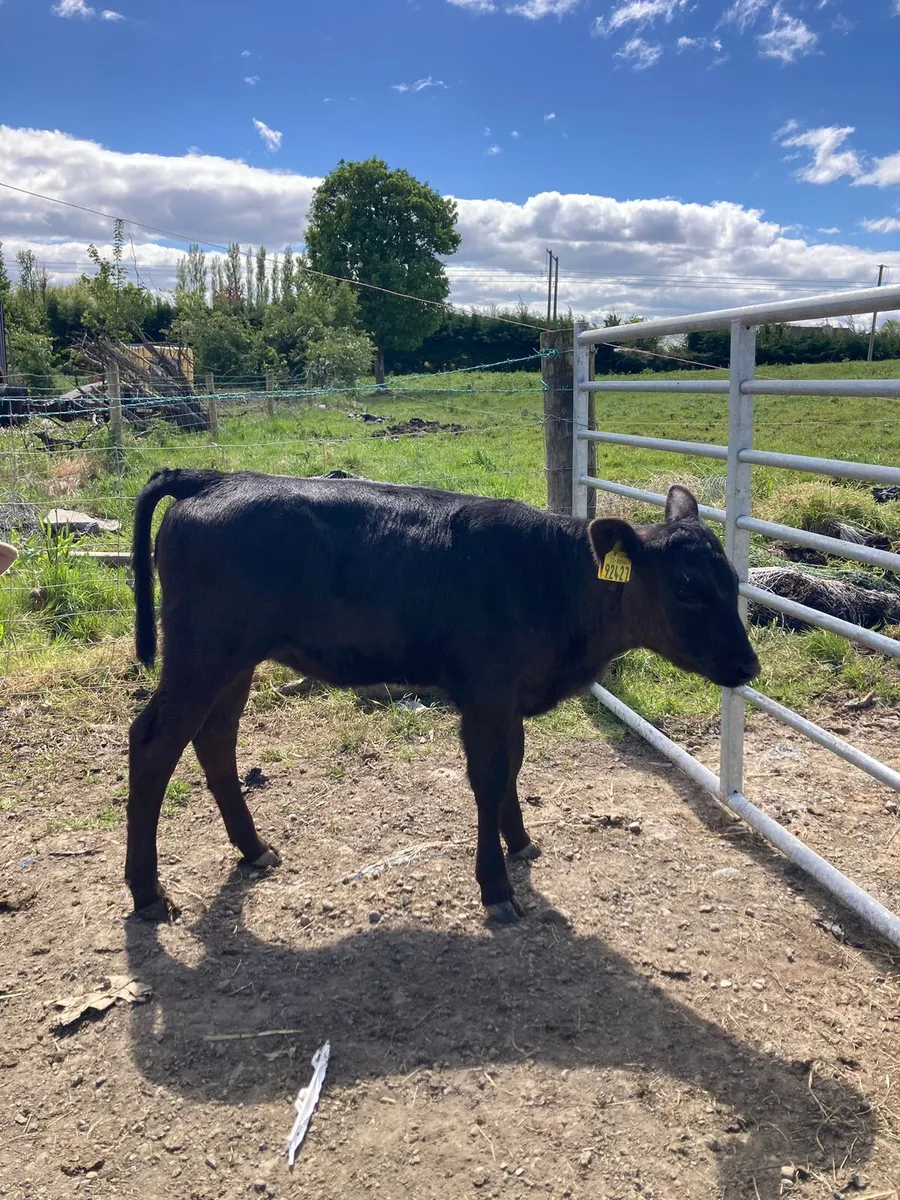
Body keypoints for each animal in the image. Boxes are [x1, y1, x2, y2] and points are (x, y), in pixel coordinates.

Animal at [126, 469, 759, 924]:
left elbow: (513, 766)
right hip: (202, 654)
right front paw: (496, 887)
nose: (748, 665)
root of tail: (212, 479)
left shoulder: (507, 696)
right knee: (154, 744)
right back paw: (147, 892)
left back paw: (253, 848)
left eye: (731, 579)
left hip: (234, 661)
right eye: (686, 588)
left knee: (215, 739)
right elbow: (489, 776)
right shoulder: (485, 691)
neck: (548, 579)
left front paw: (519, 841)